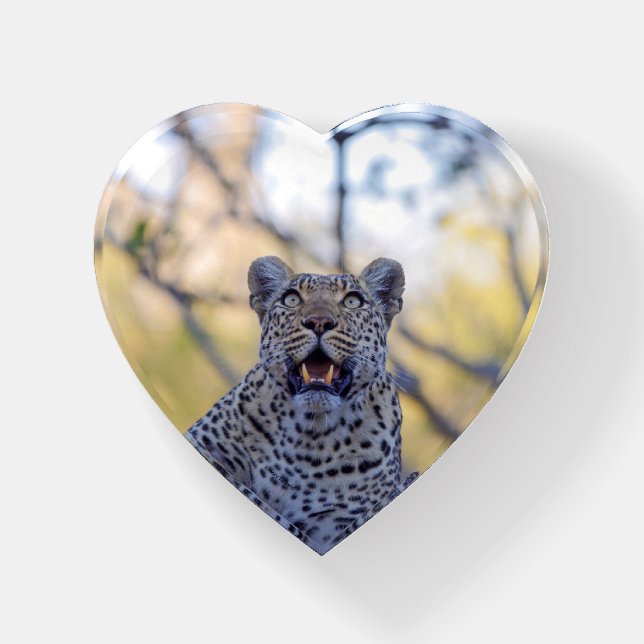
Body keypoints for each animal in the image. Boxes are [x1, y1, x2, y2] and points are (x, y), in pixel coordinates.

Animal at [186, 255, 417, 554]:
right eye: (292, 299)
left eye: (352, 301)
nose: (319, 321)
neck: (310, 437)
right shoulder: (209, 445)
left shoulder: (336, 523)